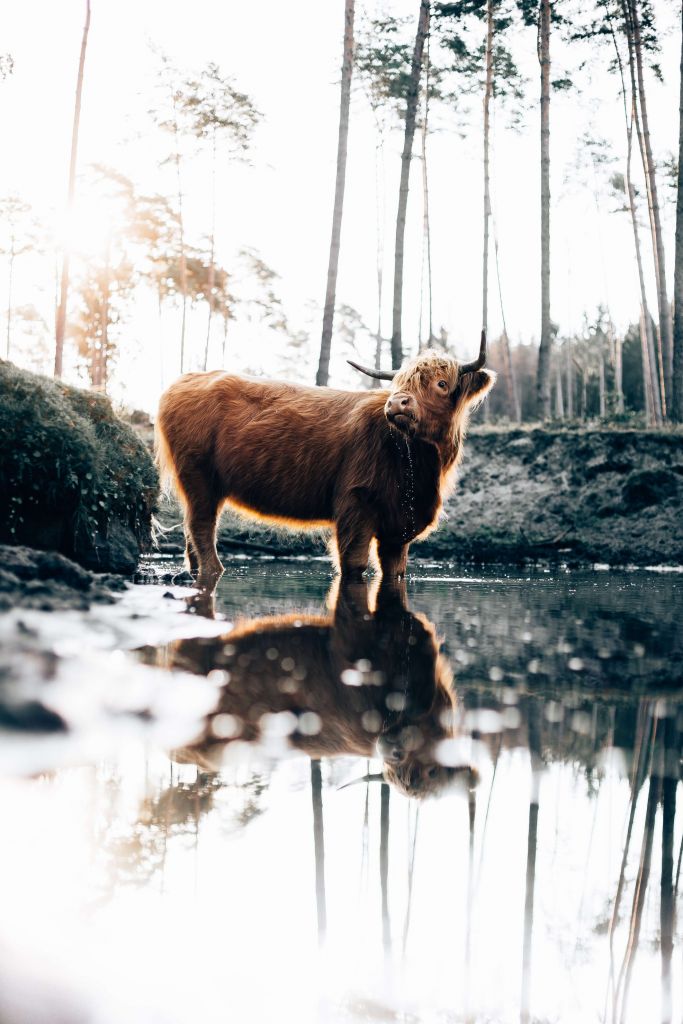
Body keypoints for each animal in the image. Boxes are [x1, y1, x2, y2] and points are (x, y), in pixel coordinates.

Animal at [156, 333, 493, 577]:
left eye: (441, 383)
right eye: (398, 383)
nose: (397, 403)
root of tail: (187, 379)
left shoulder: (399, 525)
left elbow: (395, 572)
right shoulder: (356, 504)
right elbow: (354, 565)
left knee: (191, 531)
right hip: (198, 477)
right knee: (201, 526)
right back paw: (213, 570)